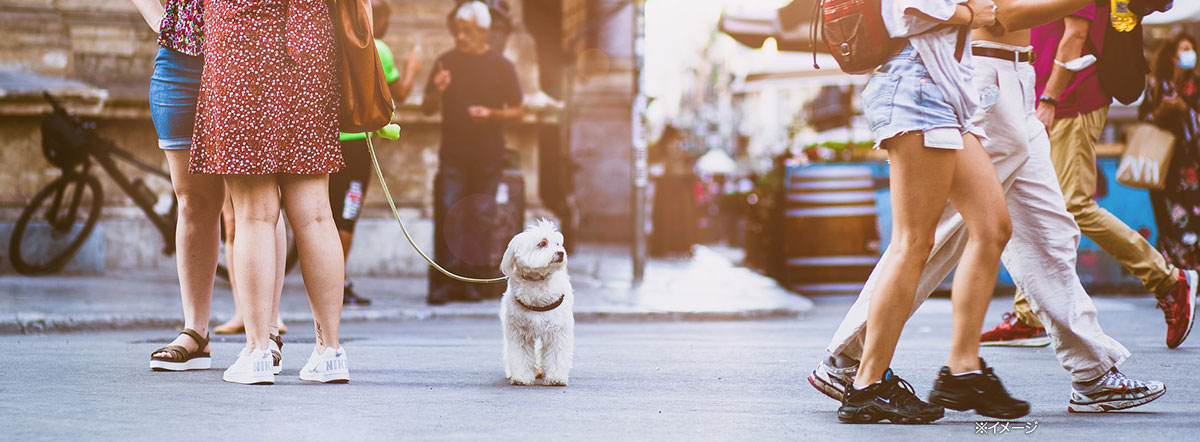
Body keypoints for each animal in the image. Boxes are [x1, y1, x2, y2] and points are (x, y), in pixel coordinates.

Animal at [496, 219, 571, 384]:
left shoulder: (557, 331)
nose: (561, 253)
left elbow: (556, 354)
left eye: (557, 243)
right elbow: (521, 355)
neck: (537, 280)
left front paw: (555, 377)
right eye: (542, 243)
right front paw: (522, 377)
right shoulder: (519, 332)